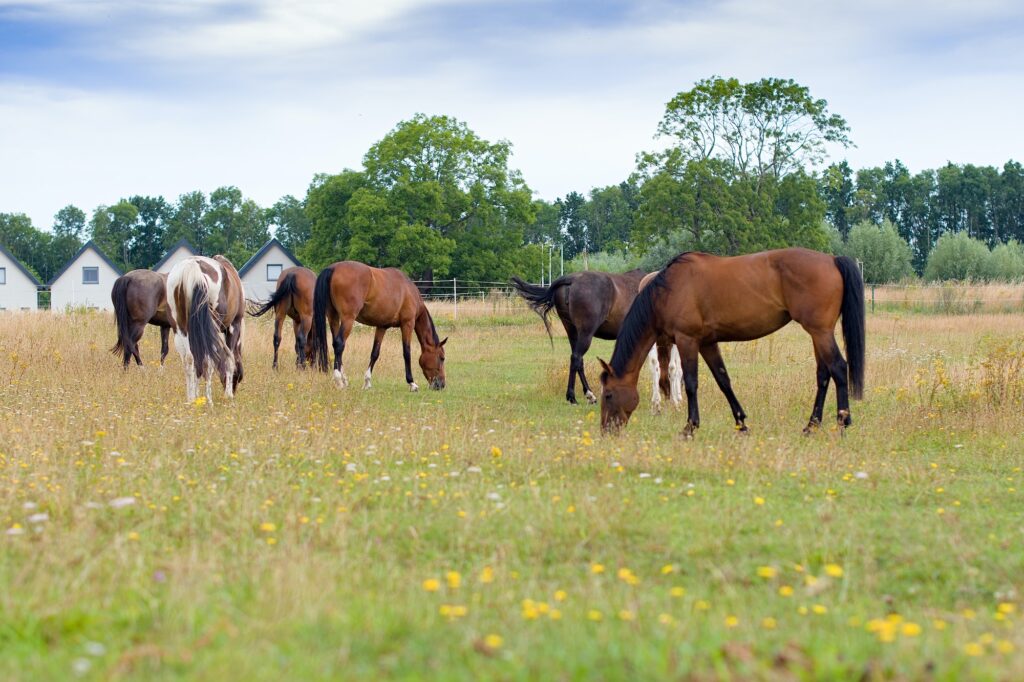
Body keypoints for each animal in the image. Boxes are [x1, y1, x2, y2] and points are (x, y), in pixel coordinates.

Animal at [168, 254, 248, 403]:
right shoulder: (234, 326)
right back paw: (209, 400)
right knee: (208, 361)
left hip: (181, 327)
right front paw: (228, 395)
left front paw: (196, 395)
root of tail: (193, 265)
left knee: (189, 359)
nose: (234, 389)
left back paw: (191, 399)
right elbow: (229, 359)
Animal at [305, 259, 446, 387]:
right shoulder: (408, 324)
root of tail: (333, 268)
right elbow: (407, 352)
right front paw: (411, 383)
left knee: (336, 344)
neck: (409, 291)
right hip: (347, 319)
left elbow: (375, 353)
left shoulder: (382, 326)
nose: (441, 385)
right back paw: (339, 380)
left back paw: (344, 379)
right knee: (339, 344)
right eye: (442, 358)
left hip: (333, 316)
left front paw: (367, 382)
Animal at [509, 268, 679, 403]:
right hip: (586, 333)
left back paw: (588, 394)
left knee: (578, 361)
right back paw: (573, 396)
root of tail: (571, 279)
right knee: (576, 358)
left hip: (573, 333)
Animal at [598, 248, 864, 436]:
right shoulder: (707, 343)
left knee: (839, 368)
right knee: (823, 374)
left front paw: (690, 427)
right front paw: (741, 424)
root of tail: (832, 259)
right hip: (818, 334)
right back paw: (811, 426)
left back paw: (843, 423)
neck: (667, 290)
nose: (606, 430)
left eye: (608, 395)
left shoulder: (687, 340)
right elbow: (723, 380)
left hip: (820, 332)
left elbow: (691, 383)